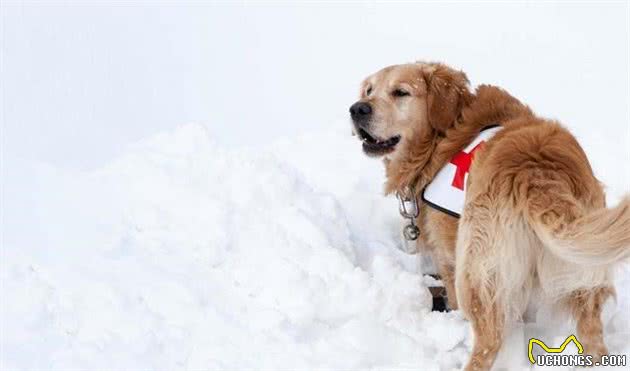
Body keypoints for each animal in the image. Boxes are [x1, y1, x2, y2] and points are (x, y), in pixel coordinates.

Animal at [350, 62, 630, 370]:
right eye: (369, 90)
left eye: (400, 92)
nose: (357, 109)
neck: (444, 134)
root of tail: (537, 171)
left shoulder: (448, 256)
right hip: (582, 274)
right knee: (593, 337)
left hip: (475, 272)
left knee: (489, 342)